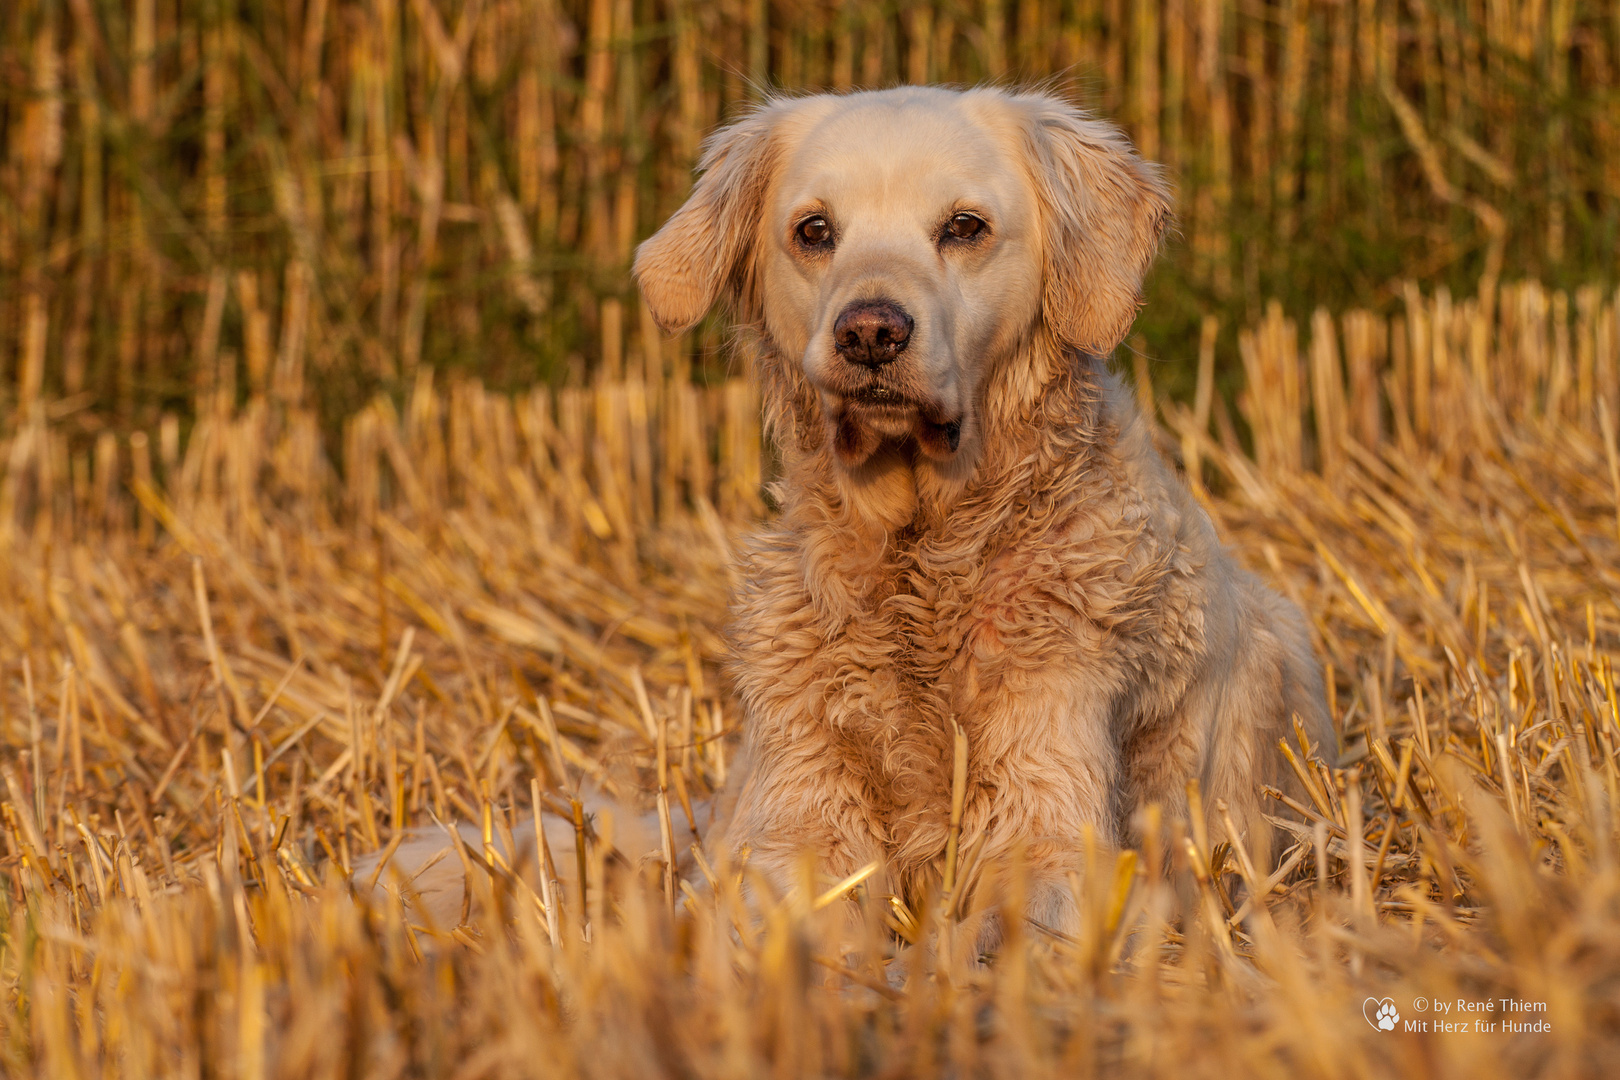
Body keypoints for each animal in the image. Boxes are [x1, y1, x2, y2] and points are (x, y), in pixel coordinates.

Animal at [628, 88, 1328, 952]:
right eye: (814, 231)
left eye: (964, 226)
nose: (870, 332)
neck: (924, 554)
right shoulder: (793, 812)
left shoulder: (1049, 807)